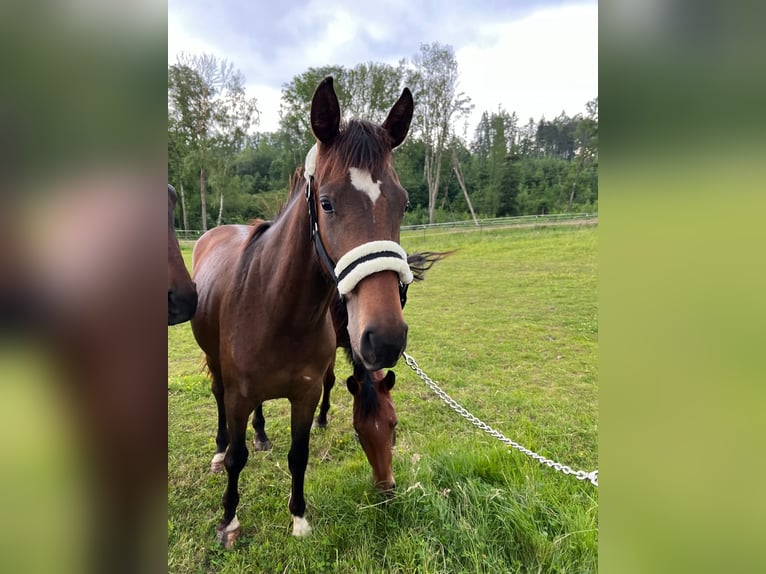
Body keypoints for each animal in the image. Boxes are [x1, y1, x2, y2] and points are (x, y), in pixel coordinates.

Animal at [192, 76, 416, 548]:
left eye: (403, 203)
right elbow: (238, 457)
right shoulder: (239, 394)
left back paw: (261, 434)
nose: (385, 337)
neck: (276, 311)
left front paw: (298, 517)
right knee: (220, 405)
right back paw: (220, 450)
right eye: (326, 203)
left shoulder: (306, 394)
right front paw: (228, 521)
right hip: (215, 365)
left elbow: (300, 454)